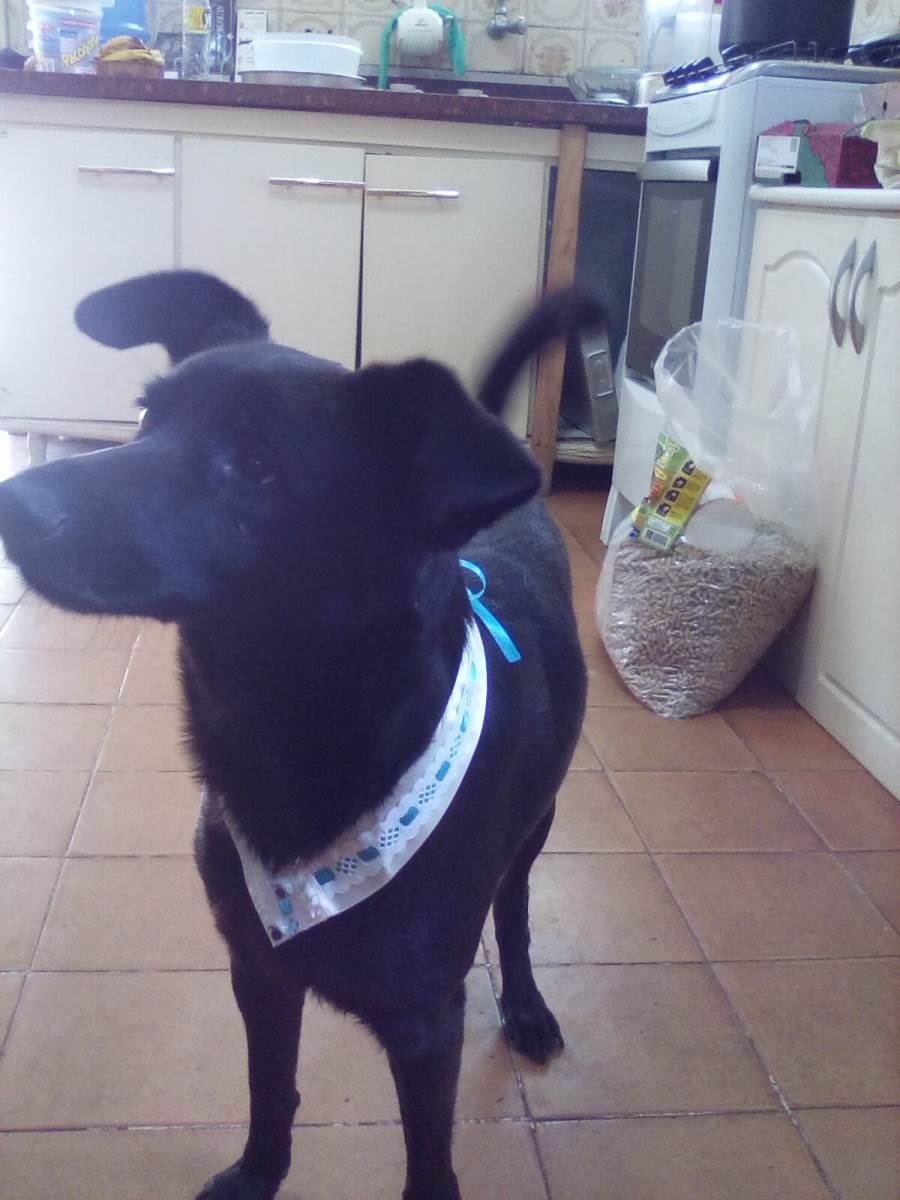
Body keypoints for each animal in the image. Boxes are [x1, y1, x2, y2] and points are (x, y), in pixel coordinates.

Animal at [0, 271, 597, 1200]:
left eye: (256, 465)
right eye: (146, 416)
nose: (16, 504)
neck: (289, 732)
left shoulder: (426, 1026)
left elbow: (429, 1164)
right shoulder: (259, 971)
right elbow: (270, 1089)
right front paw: (257, 1176)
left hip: (537, 826)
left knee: (516, 906)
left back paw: (528, 1003)